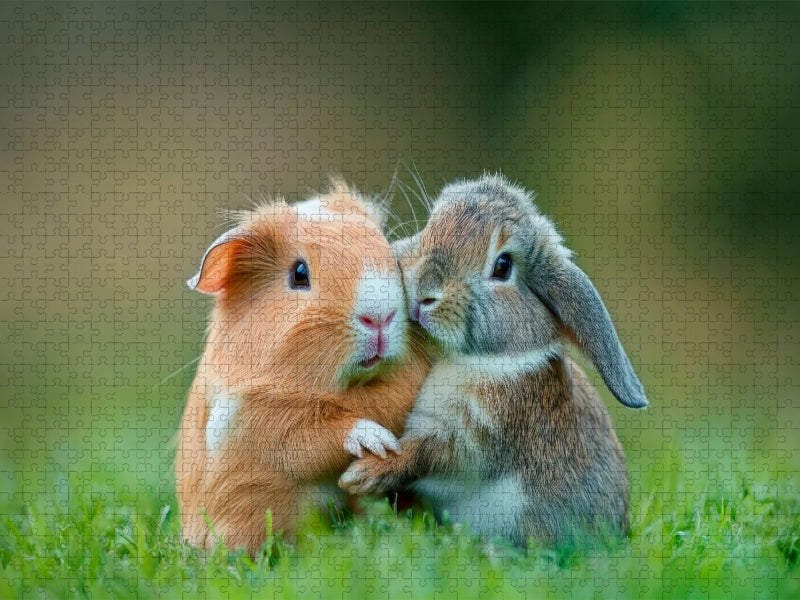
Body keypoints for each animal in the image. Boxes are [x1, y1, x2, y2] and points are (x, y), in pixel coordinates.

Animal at [176, 179, 431, 555]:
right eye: (299, 274)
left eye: (386, 253)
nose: (380, 318)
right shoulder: (259, 421)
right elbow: (321, 434)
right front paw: (378, 443)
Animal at [339, 174, 648, 548]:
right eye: (429, 226)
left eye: (503, 266)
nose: (425, 291)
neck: (476, 357)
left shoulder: (473, 436)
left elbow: (421, 454)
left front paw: (362, 475)